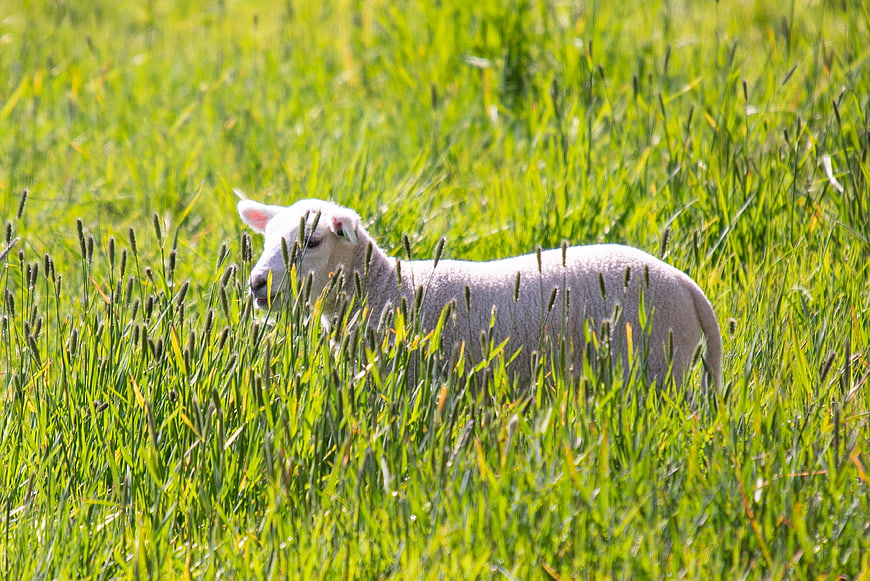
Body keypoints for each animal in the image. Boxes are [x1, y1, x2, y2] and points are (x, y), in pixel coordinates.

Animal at [238, 198, 722, 390]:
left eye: (313, 241)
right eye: (266, 240)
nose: (257, 284)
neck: (385, 288)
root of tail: (686, 284)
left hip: (657, 365)